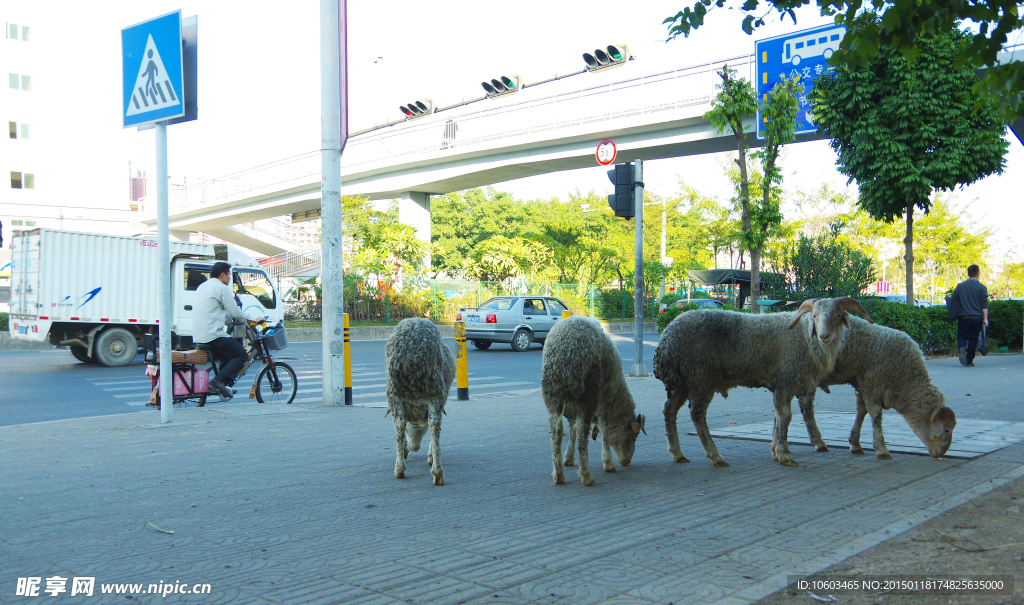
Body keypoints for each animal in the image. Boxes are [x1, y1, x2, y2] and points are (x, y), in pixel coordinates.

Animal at [385, 317, 456, 487]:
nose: (414, 447)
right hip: (435, 390)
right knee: (434, 423)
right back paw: (436, 472)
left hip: (395, 393)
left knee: (400, 423)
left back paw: (401, 469)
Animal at [540, 317, 643, 487]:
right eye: (633, 435)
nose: (626, 461)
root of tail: (565, 350)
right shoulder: (605, 398)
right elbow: (603, 427)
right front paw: (608, 463)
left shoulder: (572, 409)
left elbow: (572, 430)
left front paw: (568, 457)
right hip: (589, 392)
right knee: (582, 433)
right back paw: (586, 475)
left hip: (552, 397)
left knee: (556, 433)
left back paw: (558, 475)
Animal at [651, 298, 868, 468]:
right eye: (814, 315)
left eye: (838, 315)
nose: (824, 335)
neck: (806, 339)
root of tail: (666, 338)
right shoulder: (786, 379)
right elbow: (785, 416)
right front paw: (784, 455)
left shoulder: (780, 384)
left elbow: (777, 416)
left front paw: (775, 450)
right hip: (700, 376)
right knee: (697, 414)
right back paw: (715, 456)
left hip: (684, 381)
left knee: (669, 410)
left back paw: (678, 453)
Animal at [790, 317, 958, 458]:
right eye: (946, 429)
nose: (941, 454)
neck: (905, 379)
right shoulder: (873, 383)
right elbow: (876, 415)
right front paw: (882, 449)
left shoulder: (863, 383)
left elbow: (861, 412)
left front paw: (855, 444)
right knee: (806, 407)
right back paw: (818, 442)